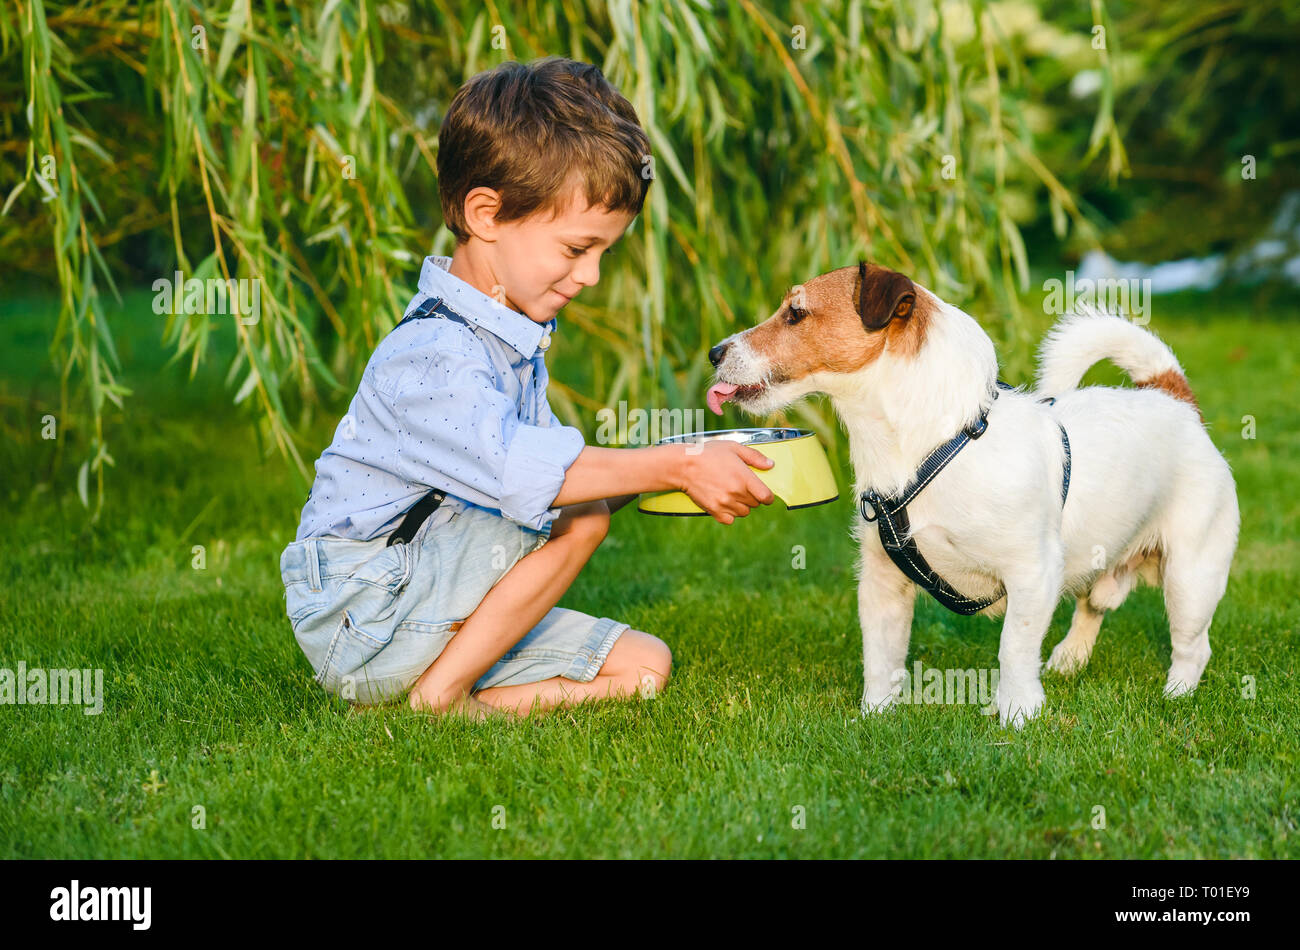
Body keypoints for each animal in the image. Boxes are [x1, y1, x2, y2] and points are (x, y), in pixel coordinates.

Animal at [712, 262, 1237, 727]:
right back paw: (1068, 660)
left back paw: (1176, 693)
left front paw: (1018, 714)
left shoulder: (1032, 573)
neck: (932, 443)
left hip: (1191, 577)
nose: (715, 352)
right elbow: (880, 656)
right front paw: (875, 717)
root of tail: (1174, 400)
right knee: (1093, 607)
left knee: (1194, 645)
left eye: (795, 313)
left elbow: (1014, 649)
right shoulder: (882, 583)